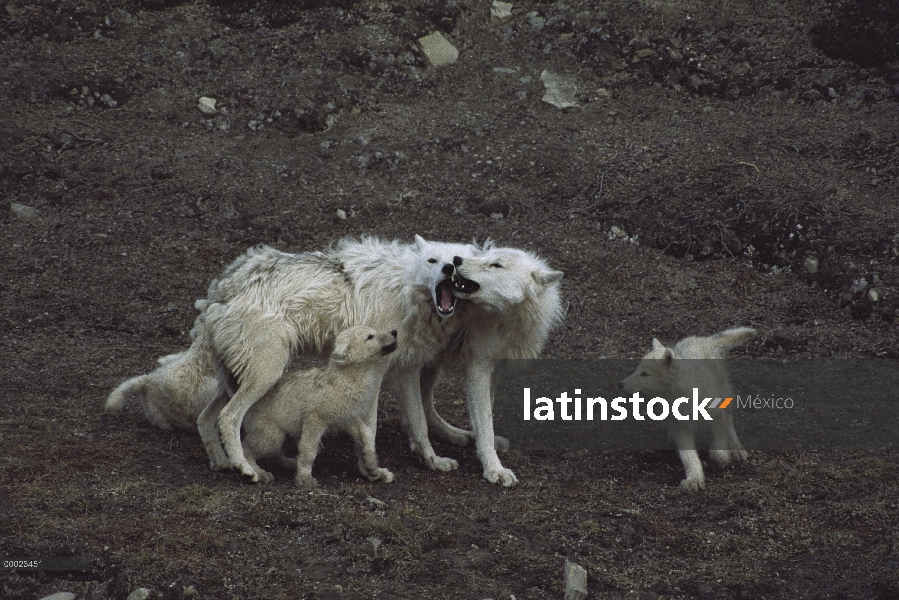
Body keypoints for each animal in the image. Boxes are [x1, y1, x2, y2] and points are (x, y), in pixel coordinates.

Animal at [239, 326, 398, 490]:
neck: (345, 380)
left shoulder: (345, 418)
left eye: (374, 331)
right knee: (247, 448)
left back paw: (291, 464)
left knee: (274, 455)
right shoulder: (315, 419)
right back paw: (257, 472)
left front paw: (372, 466)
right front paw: (305, 478)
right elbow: (309, 450)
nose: (394, 332)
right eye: (370, 337)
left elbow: (367, 433)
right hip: (272, 436)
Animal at [620, 328, 752, 492]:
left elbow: (718, 450)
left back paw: (736, 449)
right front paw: (694, 479)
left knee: (729, 422)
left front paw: (723, 459)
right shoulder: (680, 426)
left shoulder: (717, 414)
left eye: (645, 374)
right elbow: (688, 456)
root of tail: (705, 340)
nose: (620, 384)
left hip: (724, 393)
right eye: (638, 371)